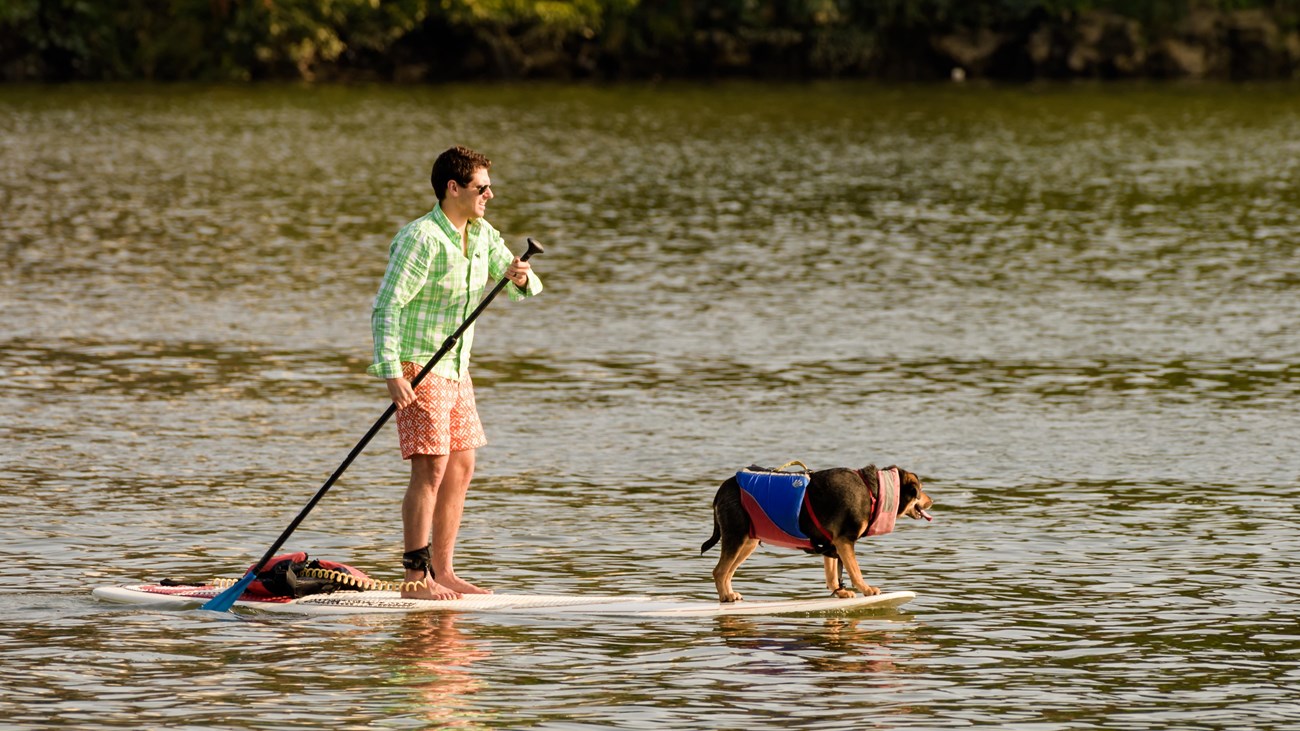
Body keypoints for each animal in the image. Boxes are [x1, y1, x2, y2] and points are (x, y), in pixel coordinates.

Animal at [707, 463, 930, 600]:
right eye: (920, 489)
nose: (932, 501)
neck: (872, 492)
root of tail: (722, 488)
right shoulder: (845, 540)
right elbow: (855, 571)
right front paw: (867, 590)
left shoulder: (833, 543)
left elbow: (832, 575)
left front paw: (841, 593)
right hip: (737, 536)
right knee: (720, 571)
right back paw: (726, 597)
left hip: (748, 540)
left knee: (726, 572)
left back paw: (730, 595)